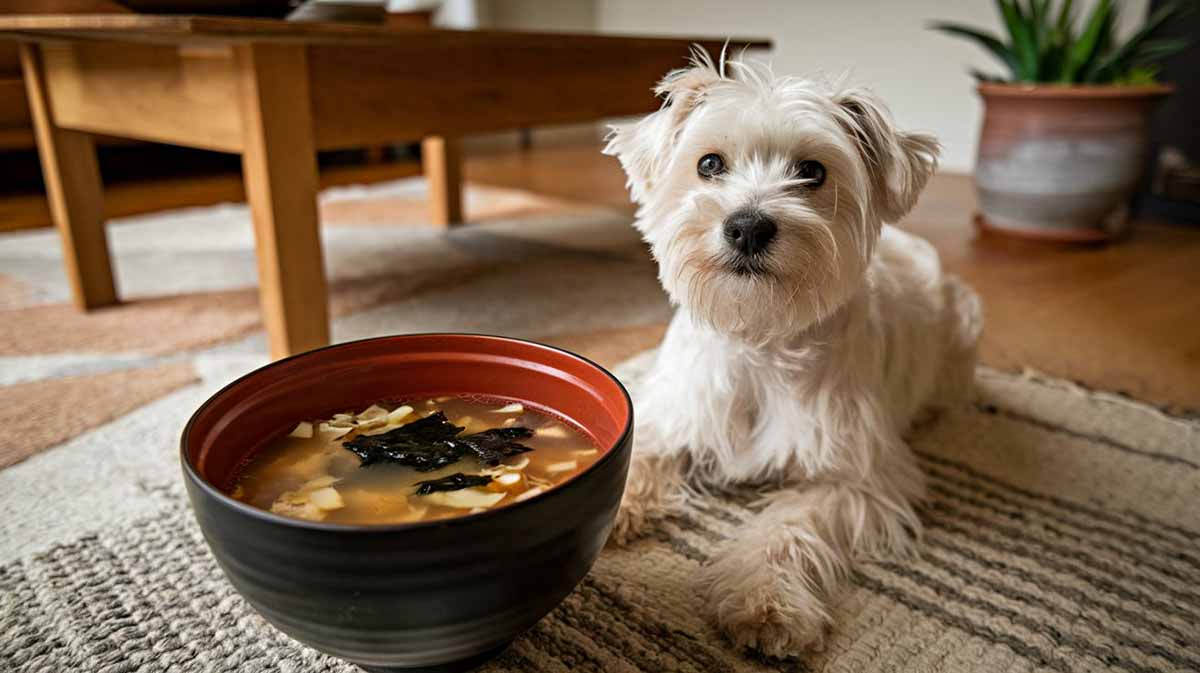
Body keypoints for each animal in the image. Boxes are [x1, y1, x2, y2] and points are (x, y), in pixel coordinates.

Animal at [604, 52, 979, 657]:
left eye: (812, 171)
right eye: (709, 163)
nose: (748, 226)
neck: (758, 338)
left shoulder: (855, 477)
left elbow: (784, 526)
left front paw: (766, 602)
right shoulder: (678, 416)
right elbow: (639, 458)